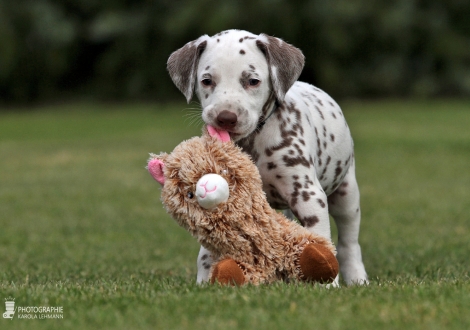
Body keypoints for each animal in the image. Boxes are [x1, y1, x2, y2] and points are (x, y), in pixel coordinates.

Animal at [167, 29, 370, 286]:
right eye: (206, 81)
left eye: (253, 81)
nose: (226, 117)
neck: (254, 143)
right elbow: (207, 251)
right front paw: (206, 280)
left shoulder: (308, 196)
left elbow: (321, 240)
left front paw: (325, 282)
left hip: (346, 195)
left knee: (348, 243)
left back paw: (357, 278)